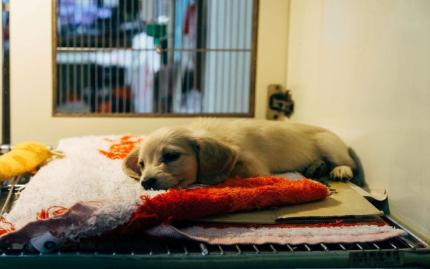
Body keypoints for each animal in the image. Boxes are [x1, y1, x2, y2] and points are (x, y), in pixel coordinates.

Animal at [122, 118, 354, 189]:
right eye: (141, 164)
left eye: (171, 156)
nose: (146, 183)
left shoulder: (254, 167)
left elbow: (233, 171)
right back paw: (316, 167)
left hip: (329, 144)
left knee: (347, 163)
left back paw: (340, 170)